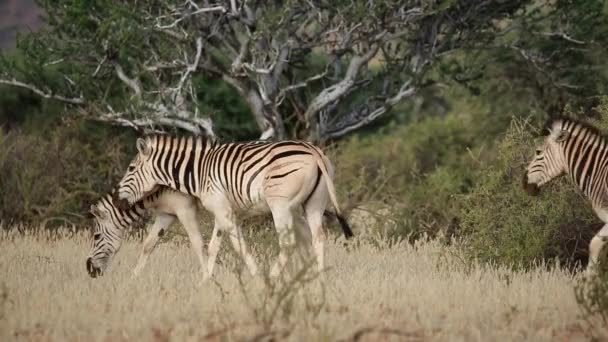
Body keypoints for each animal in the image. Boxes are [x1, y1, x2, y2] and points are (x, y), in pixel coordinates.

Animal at [111, 134, 354, 280]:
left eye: (131, 168)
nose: (117, 200)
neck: (199, 172)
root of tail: (313, 151)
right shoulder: (222, 210)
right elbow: (213, 246)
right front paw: (205, 281)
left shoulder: (223, 210)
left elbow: (238, 246)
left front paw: (257, 278)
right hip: (314, 203)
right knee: (318, 237)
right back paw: (320, 279)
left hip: (280, 205)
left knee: (287, 243)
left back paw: (272, 278)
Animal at [520, 116, 608, 274]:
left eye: (538, 152)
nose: (523, 183)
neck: (599, 171)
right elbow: (595, 243)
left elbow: (594, 244)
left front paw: (589, 276)